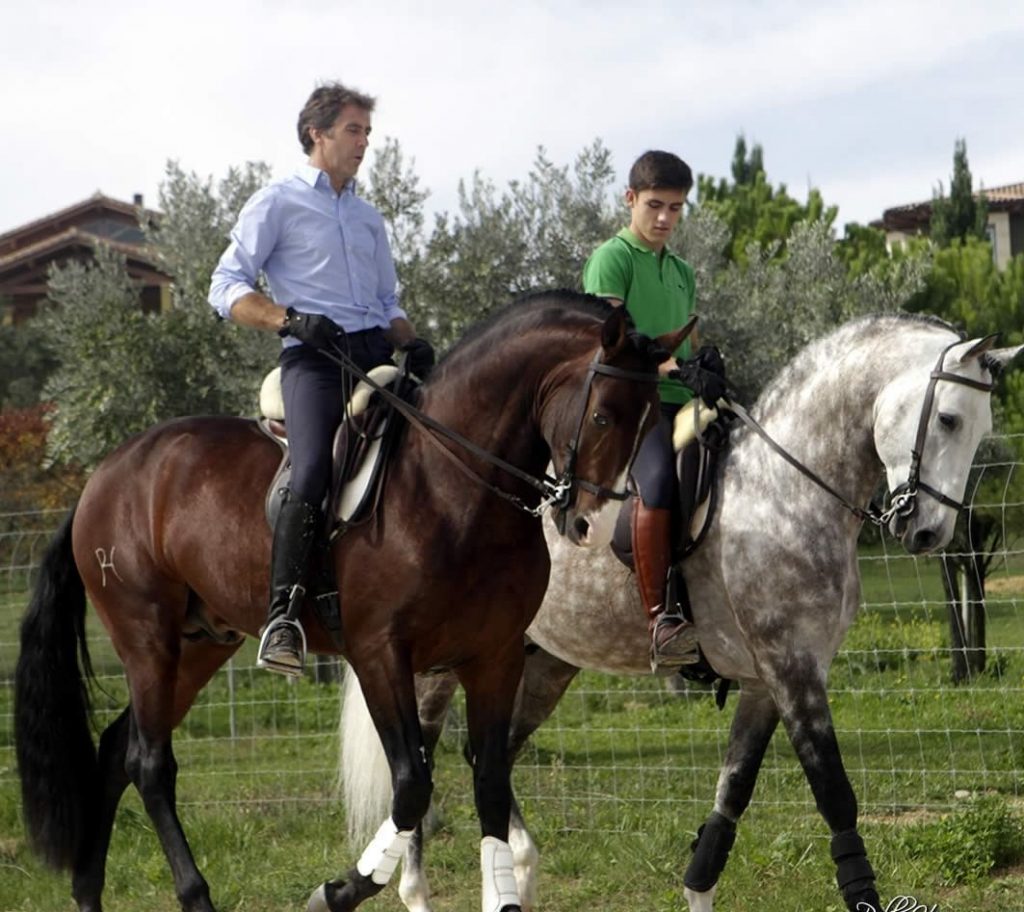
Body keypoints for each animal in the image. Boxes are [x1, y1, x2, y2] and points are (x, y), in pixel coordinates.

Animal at [12, 294, 684, 912]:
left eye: (652, 420)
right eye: (603, 416)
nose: (592, 528)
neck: (453, 487)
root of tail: (105, 475)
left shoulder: (495, 657)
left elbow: (489, 781)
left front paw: (502, 898)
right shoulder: (380, 654)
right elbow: (412, 784)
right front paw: (337, 891)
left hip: (199, 644)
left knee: (115, 751)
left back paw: (88, 893)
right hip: (146, 637)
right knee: (149, 763)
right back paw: (195, 895)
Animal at [339, 315, 1019, 912]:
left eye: (979, 430)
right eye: (949, 418)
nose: (928, 532)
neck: (784, 489)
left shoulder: (765, 682)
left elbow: (730, 800)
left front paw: (698, 889)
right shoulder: (793, 671)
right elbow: (835, 797)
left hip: (541, 662)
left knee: (492, 758)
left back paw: (519, 869)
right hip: (436, 668)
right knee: (426, 763)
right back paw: (417, 890)